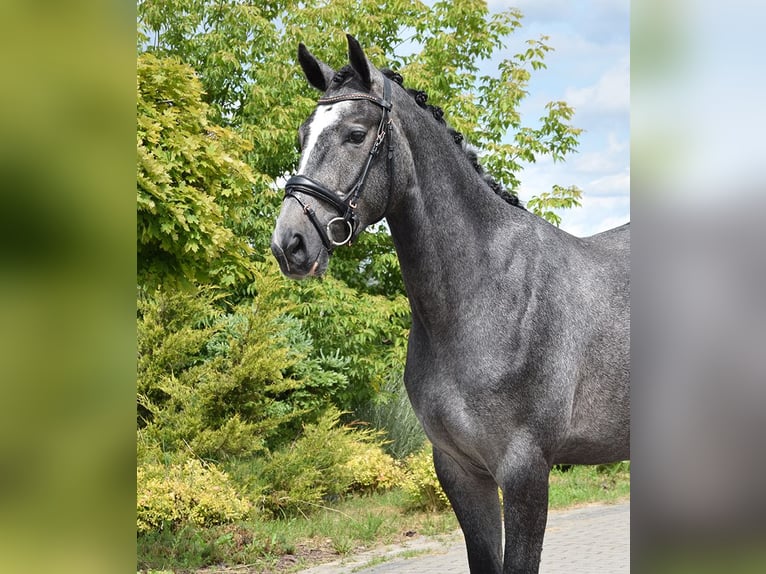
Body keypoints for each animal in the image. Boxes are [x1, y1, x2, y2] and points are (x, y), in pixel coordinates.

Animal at [272, 36, 632, 574]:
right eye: (301, 136)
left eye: (356, 134)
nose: (290, 244)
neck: (484, 295)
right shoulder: (459, 469)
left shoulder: (525, 472)